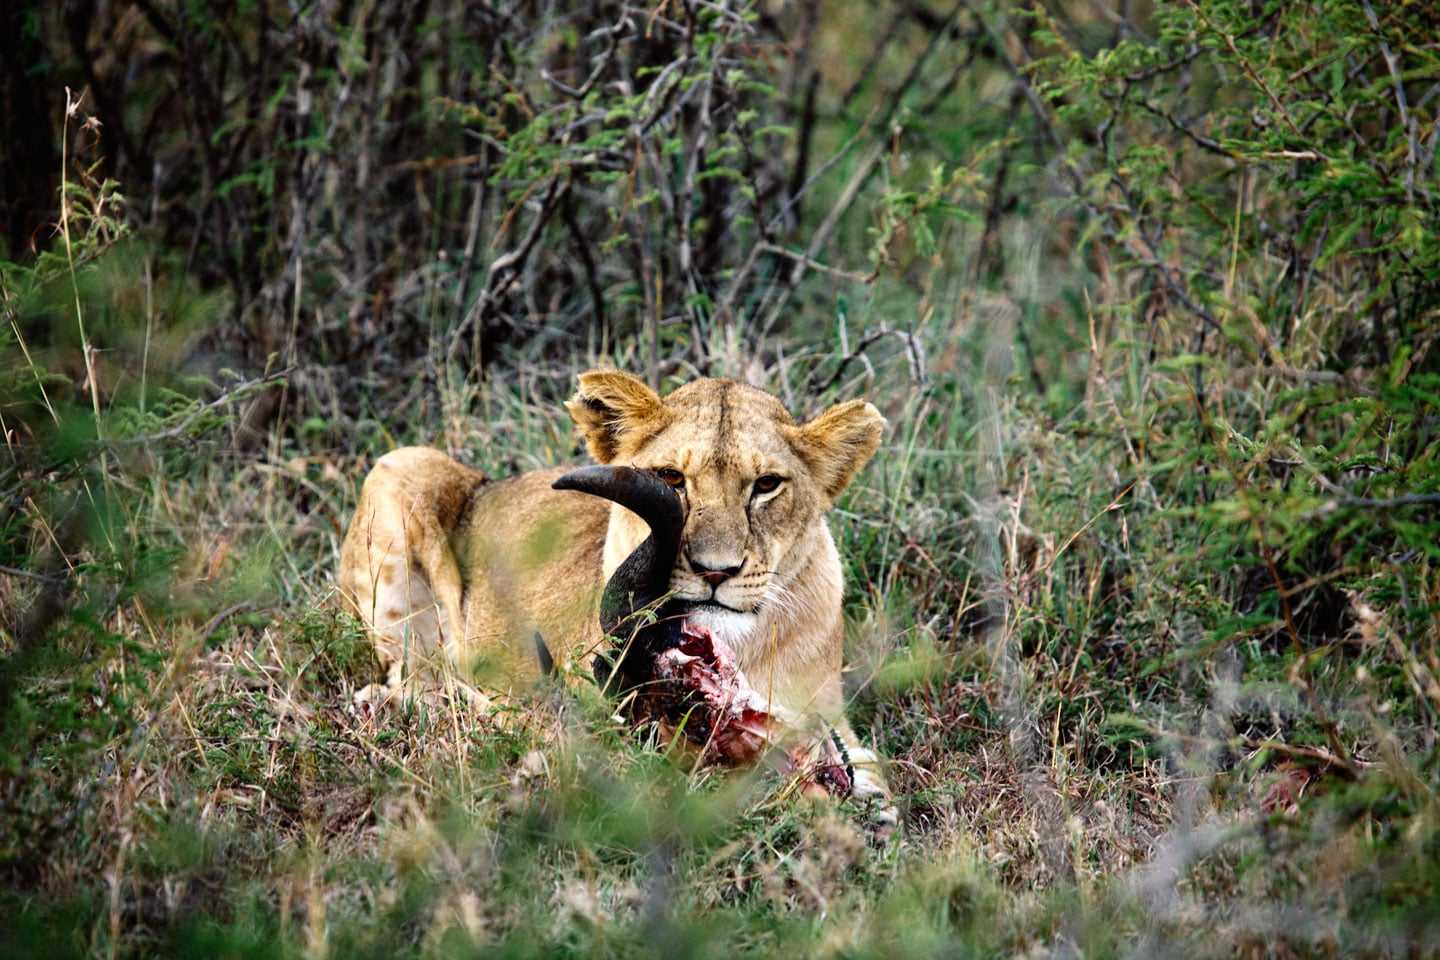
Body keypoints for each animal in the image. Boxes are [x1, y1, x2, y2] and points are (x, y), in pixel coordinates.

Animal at [337, 370, 894, 824]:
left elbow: (872, 770)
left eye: (767, 484)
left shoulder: (829, 715)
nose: (715, 570)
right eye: (671, 478)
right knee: (411, 676)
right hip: (402, 464)